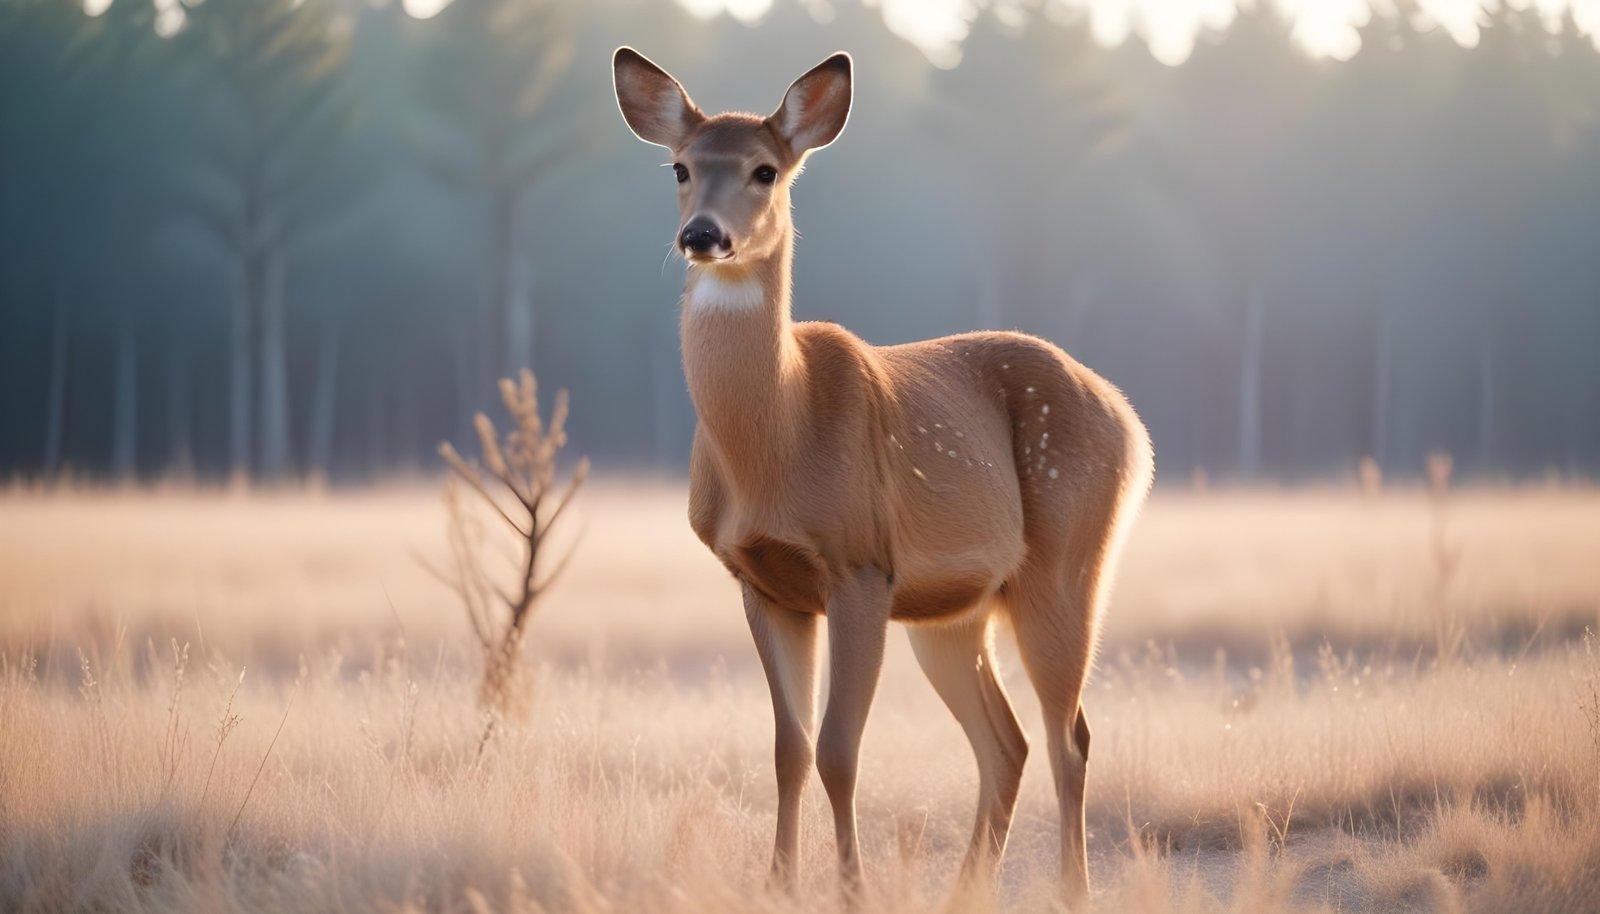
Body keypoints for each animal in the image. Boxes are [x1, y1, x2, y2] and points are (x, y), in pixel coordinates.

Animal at [612, 48, 1153, 908]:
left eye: (766, 170)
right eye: (680, 167)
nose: (702, 235)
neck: (780, 439)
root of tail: (1131, 421)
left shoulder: (861, 565)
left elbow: (839, 749)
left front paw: (851, 888)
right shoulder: (761, 582)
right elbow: (788, 749)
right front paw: (779, 884)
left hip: (1068, 562)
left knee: (1069, 735)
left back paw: (1073, 890)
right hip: (953, 610)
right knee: (1008, 742)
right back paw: (968, 890)